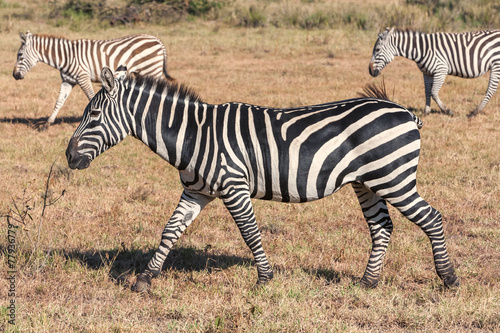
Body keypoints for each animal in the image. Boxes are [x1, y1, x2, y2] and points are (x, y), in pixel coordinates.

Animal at [12, 31, 173, 125]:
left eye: (19, 55)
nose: (14, 75)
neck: (66, 57)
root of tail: (157, 40)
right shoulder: (68, 81)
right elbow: (59, 101)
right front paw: (48, 123)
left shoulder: (83, 77)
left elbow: (91, 98)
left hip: (152, 69)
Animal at [66, 65, 460, 290]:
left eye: (94, 115)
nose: (69, 157)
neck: (194, 134)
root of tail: (405, 112)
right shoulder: (196, 191)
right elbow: (170, 231)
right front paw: (145, 280)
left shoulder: (233, 186)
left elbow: (250, 233)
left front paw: (264, 279)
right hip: (369, 183)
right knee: (382, 228)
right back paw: (367, 282)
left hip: (394, 178)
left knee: (432, 218)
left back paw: (449, 279)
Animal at [368, 27, 500, 117]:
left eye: (377, 49)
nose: (370, 71)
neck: (422, 50)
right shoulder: (426, 73)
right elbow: (427, 92)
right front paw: (426, 111)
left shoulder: (441, 70)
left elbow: (433, 92)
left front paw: (447, 111)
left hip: (496, 64)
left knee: (491, 89)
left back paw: (475, 112)